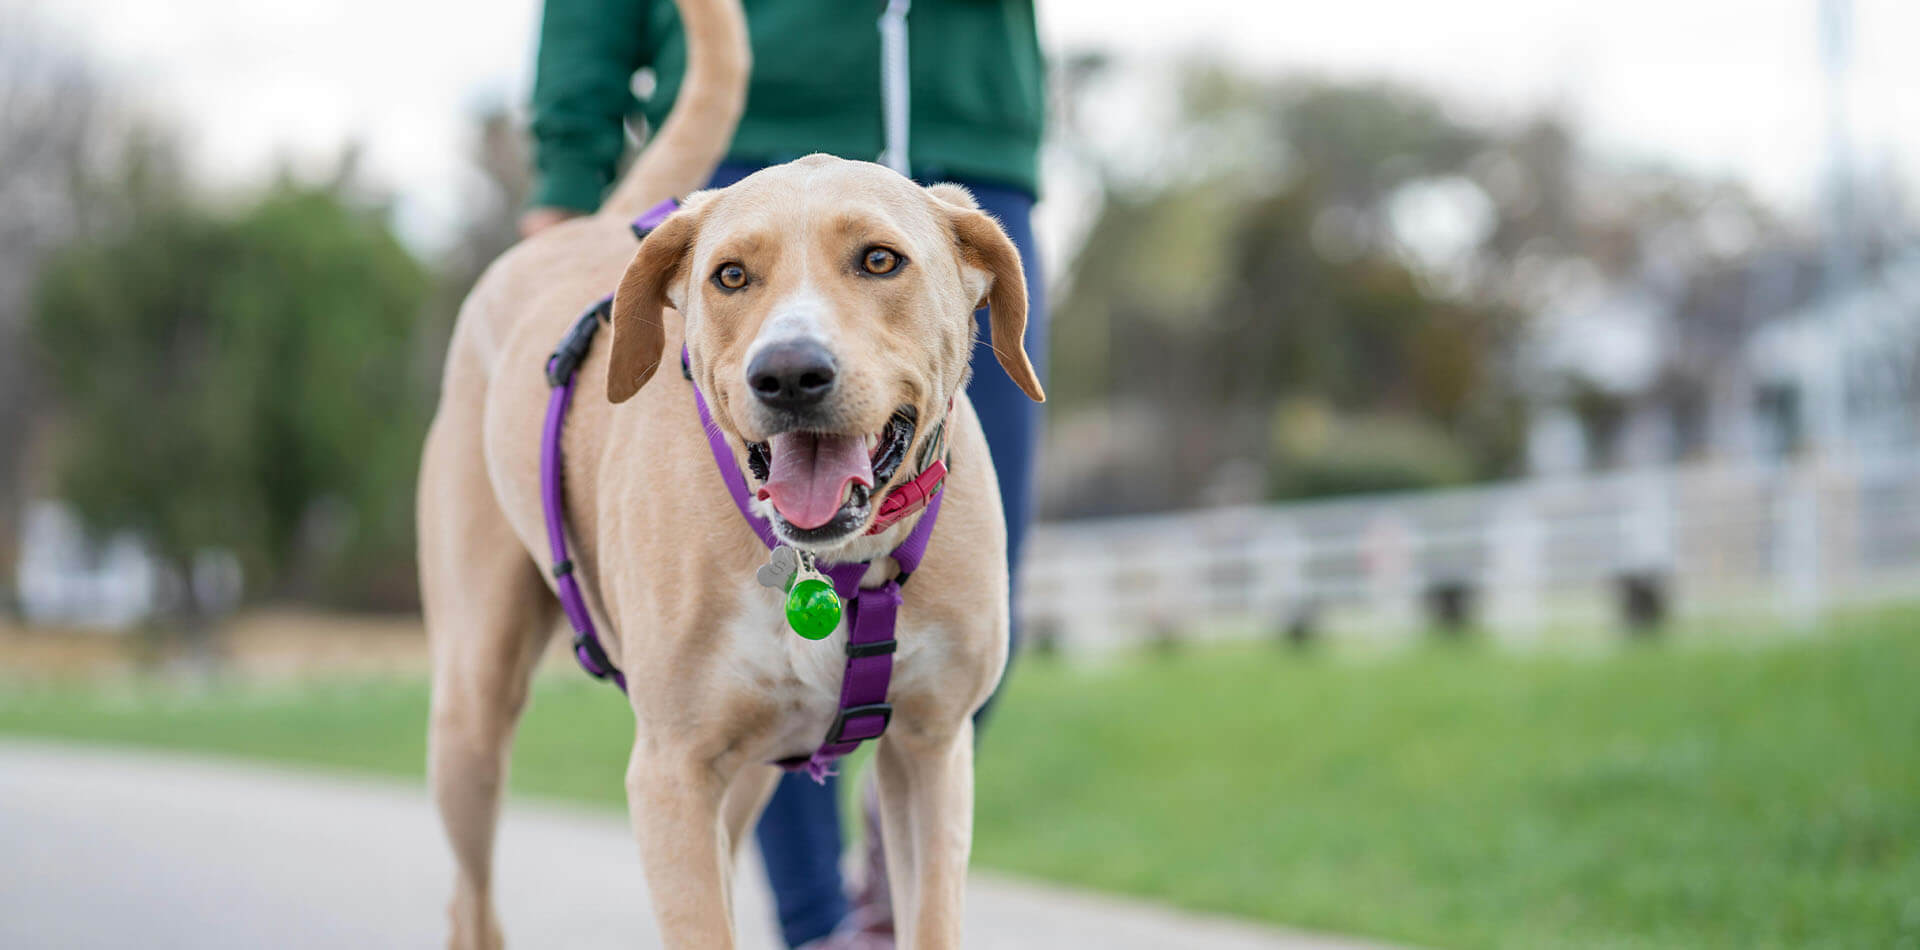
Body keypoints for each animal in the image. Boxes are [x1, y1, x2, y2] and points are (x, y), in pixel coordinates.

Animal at [416, 1, 1052, 950]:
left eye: (879, 260)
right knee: (468, 896)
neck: (829, 565)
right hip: (472, 703)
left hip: (751, 771)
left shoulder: (931, 752)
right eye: (730, 276)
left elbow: (928, 914)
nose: (787, 374)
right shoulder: (671, 773)